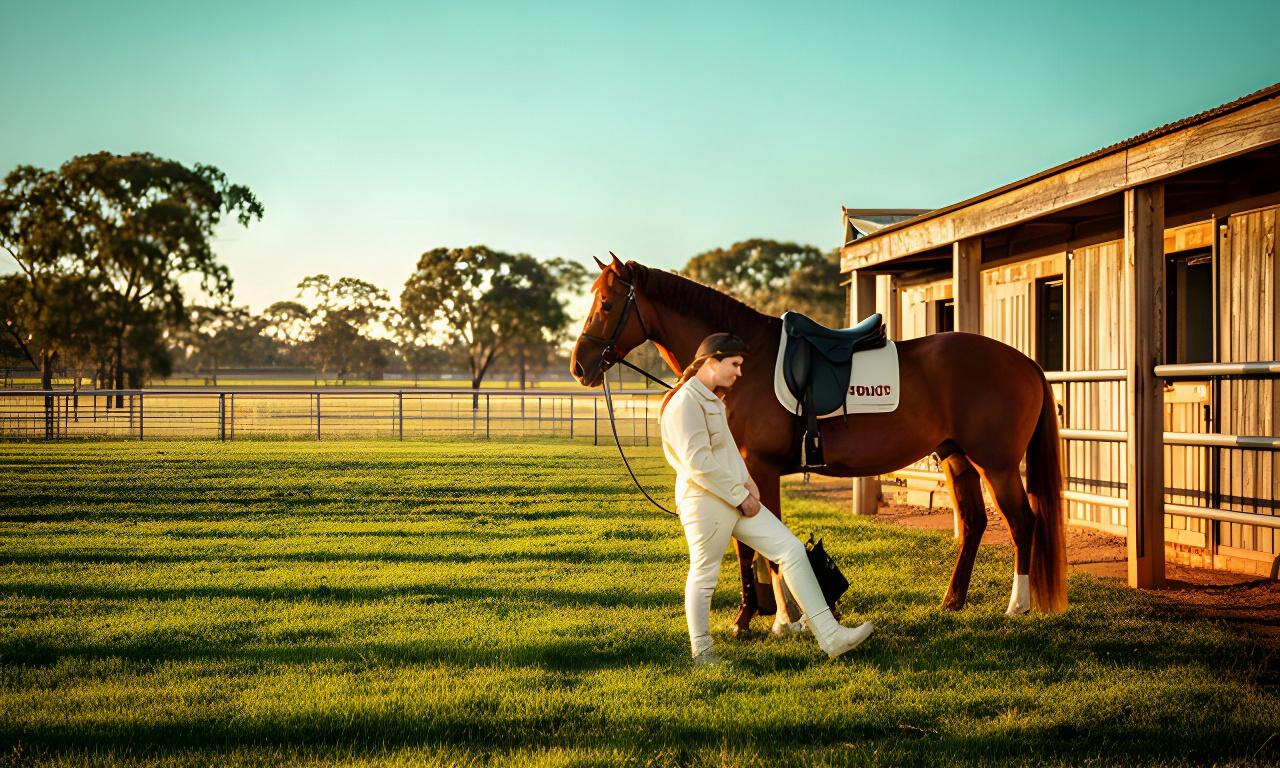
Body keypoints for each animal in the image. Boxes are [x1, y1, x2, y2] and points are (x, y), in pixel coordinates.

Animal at [570, 255, 1067, 634]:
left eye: (607, 303)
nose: (579, 365)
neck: (745, 362)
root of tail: (1025, 362)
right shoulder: (739, 473)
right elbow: (746, 547)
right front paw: (751, 616)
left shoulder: (759, 467)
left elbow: (764, 550)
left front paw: (780, 619)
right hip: (955, 457)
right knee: (975, 523)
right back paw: (952, 601)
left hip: (996, 464)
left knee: (1023, 522)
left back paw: (1017, 605)